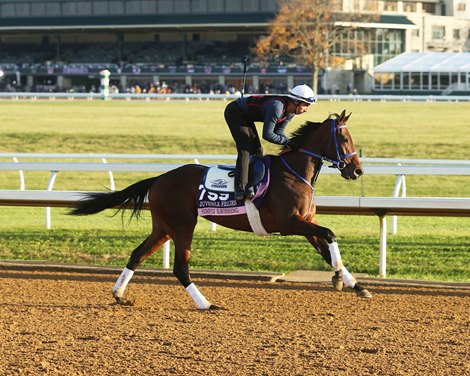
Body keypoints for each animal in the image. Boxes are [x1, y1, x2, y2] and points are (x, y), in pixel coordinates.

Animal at [70, 110, 370, 310]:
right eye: (344, 138)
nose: (357, 171)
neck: (294, 172)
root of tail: (158, 179)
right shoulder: (289, 223)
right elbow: (330, 234)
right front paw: (340, 278)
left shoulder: (305, 223)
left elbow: (327, 249)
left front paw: (356, 285)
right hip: (182, 225)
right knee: (180, 267)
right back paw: (206, 303)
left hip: (164, 227)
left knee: (137, 255)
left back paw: (119, 294)